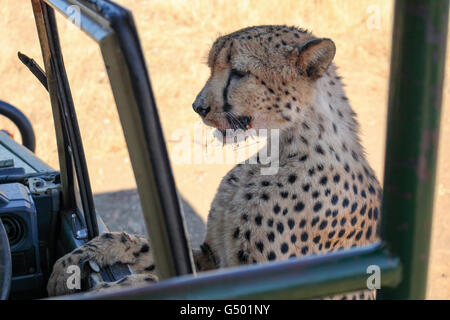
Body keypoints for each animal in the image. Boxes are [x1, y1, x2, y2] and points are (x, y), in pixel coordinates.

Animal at [46, 25, 380, 300]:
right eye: (211, 66)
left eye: (239, 72)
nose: (198, 107)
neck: (281, 151)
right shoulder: (211, 257)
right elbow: (143, 248)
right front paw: (80, 258)